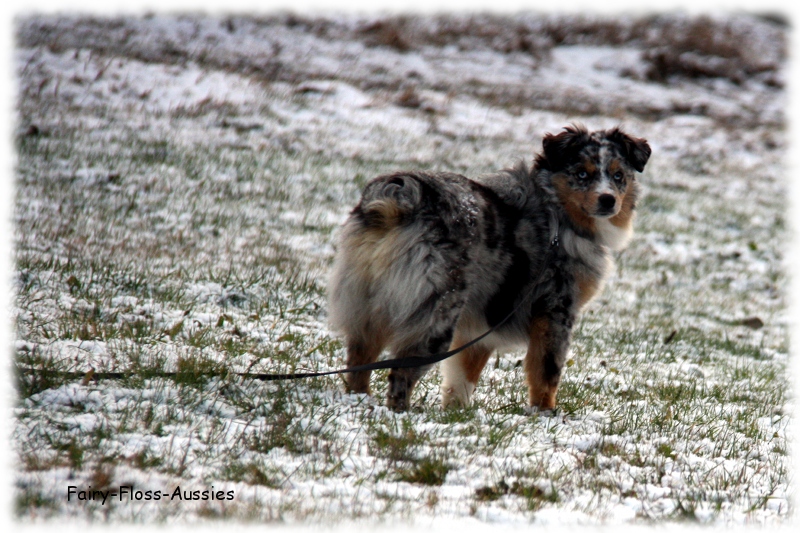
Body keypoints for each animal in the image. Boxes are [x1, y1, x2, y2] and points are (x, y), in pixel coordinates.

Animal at [324, 124, 648, 412]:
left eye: (618, 175)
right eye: (582, 174)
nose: (608, 200)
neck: (557, 211)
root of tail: (405, 197)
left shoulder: (481, 324)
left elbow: (464, 375)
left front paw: (456, 413)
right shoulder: (555, 310)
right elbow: (547, 371)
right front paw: (545, 413)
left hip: (367, 303)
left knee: (359, 361)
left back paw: (361, 402)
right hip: (436, 315)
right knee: (401, 373)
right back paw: (401, 414)